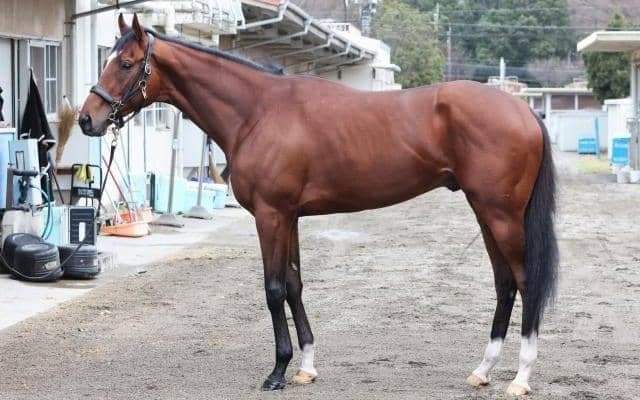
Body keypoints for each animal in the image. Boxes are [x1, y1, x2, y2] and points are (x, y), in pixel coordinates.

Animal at [79, 14, 558, 396]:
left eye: (125, 64)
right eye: (107, 59)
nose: (87, 119)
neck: (257, 111)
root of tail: (524, 112)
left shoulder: (271, 216)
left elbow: (273, 289)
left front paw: (277, 372)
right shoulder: (288, 216)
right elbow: (294, 285)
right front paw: (306, 367)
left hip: (501, 215)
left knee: (525, 282)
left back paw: (521, 378)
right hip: (486, 213)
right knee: (504, 284)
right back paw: (483, 370)